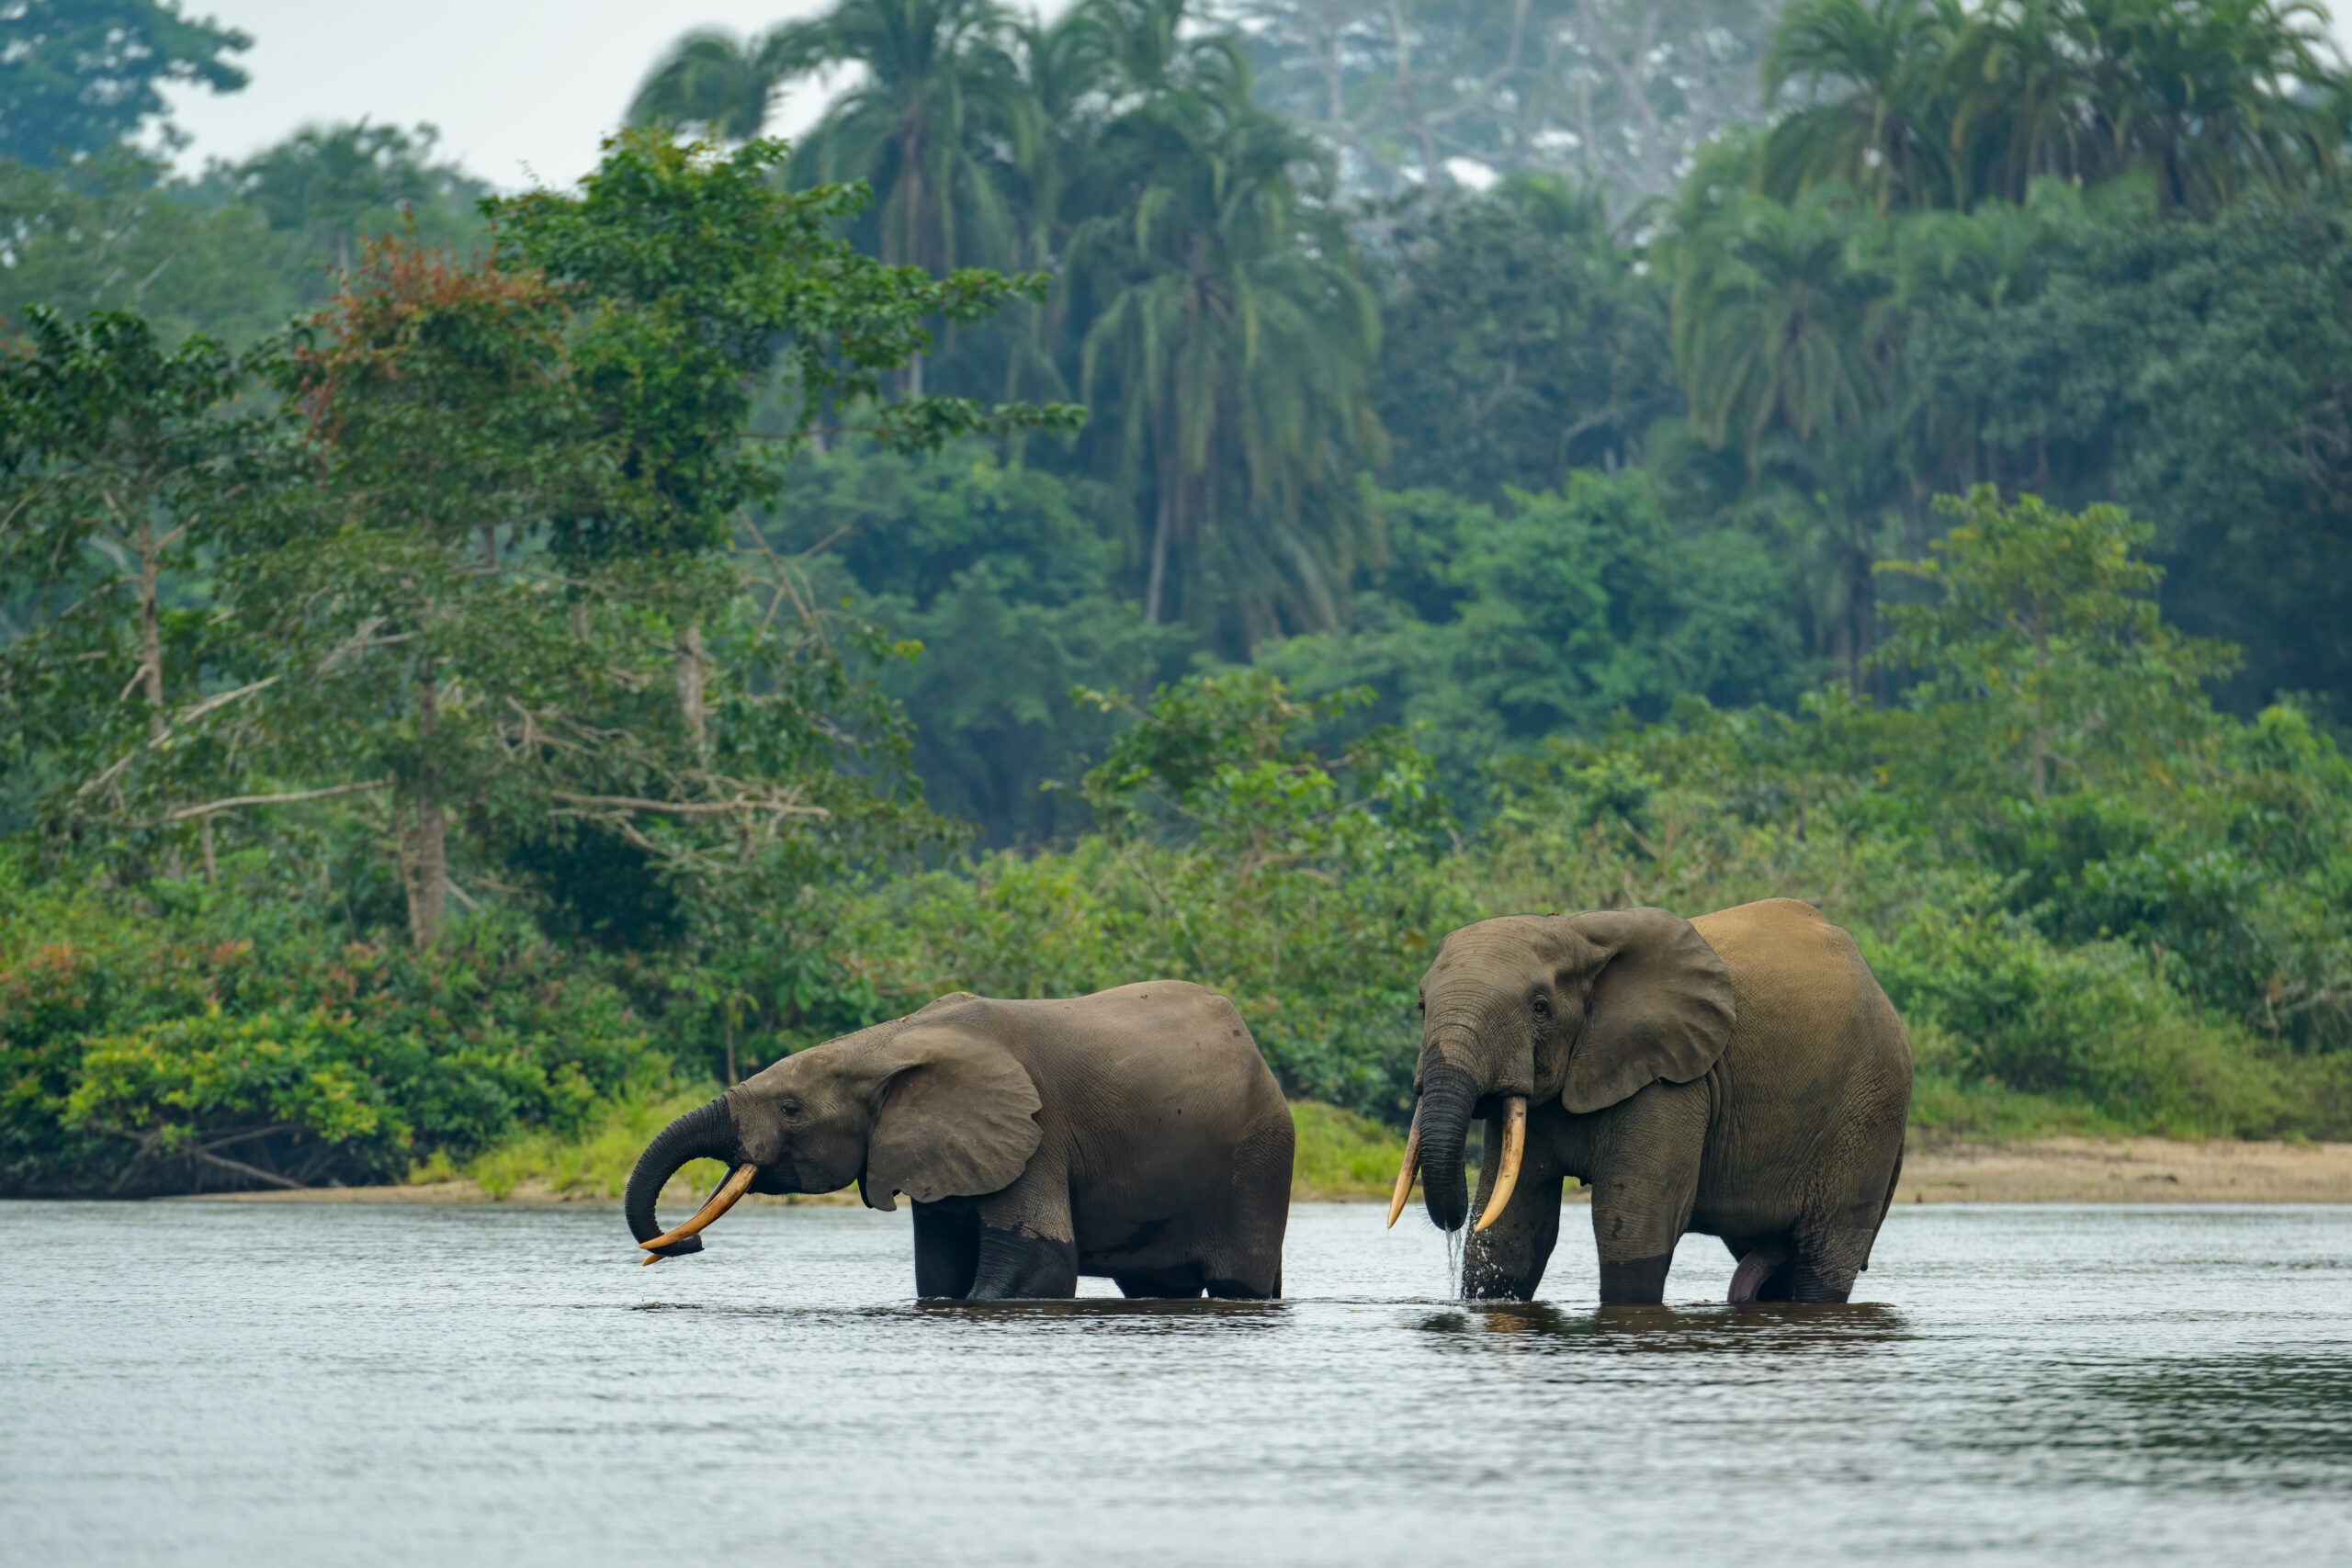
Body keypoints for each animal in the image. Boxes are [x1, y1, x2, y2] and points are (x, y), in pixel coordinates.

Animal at [626, 982, 1294, 1300]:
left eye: (790, 1109)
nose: (688, 1246)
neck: (888, 1041)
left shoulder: (1036, 1133)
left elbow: (1037, 1268)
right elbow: (939, 1273)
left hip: (1260, 1158)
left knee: (1240, 1283)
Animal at [1390, 898, 1911, 1305]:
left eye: (1540, 1008)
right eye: (1421, 1007)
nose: (1453, 1224)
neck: (1575, 931)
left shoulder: (1673, 1080)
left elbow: (1634, 1223)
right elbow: (1511, 1230)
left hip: (1869, 1111)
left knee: (1823, 1256)